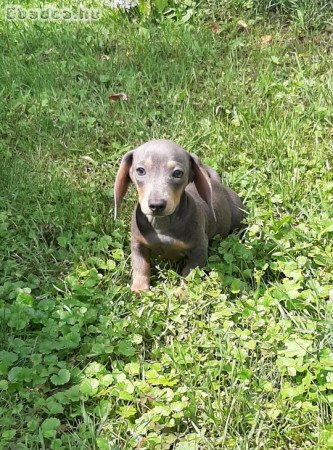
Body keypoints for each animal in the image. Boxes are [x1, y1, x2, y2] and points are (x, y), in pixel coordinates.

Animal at [114, 140, 244, 292]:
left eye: (177, 173)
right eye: (140, 170)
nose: (156, 205)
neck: (161, 224)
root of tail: (217, 183)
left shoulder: (199, 247)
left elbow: (190, 272)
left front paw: (183, 292)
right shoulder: (137, 243)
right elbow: (140, 266)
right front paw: (139, 288)